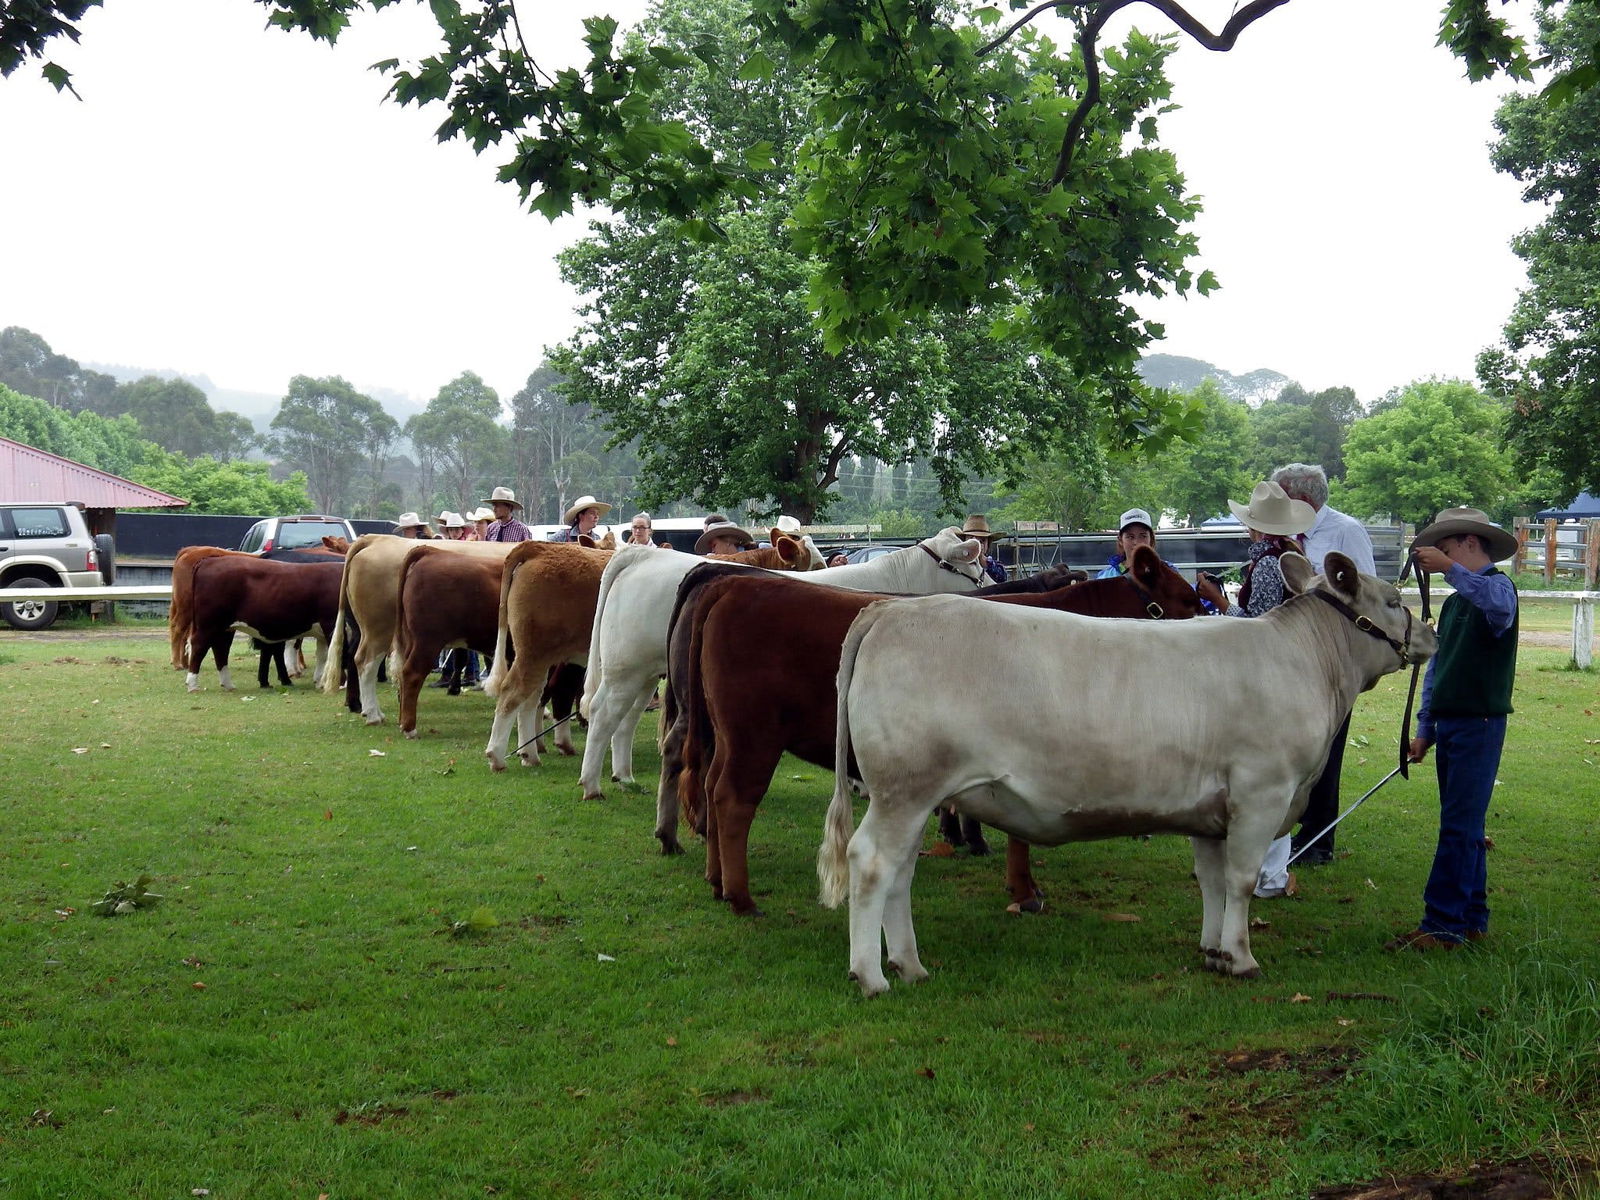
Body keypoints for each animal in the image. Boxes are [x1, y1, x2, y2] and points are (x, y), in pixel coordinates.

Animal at [579, 531, 985, 803]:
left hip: (643, 670)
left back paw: (624, 777)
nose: (990, 581)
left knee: (626, 719)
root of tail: (639, 555)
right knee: (602, 713)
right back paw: (592, 785)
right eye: (974, 563)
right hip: (624, 666)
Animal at [659, 550, 1203, 915]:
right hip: (754, 734)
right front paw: (1024, 890)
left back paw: (715, 879)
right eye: (1186, 598)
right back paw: (740, 896)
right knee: (731, 799)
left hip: (726, 734)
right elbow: (1019, 832)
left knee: (709, 786)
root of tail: (731, 584)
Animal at [819, 553, 1433, 998]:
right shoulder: (1261, 792)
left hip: (914, 796)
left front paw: (1213, 951)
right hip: (905, 790)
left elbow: (1212, 881)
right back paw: (871, 975)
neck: (1307, 662)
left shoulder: (1211, 810)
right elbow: (1239, 880)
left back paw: (909, 964)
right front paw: (1241, 958)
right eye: (1391, 599)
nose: (1429, 632)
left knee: (899, 872)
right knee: (871, 863)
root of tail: (889, 611)